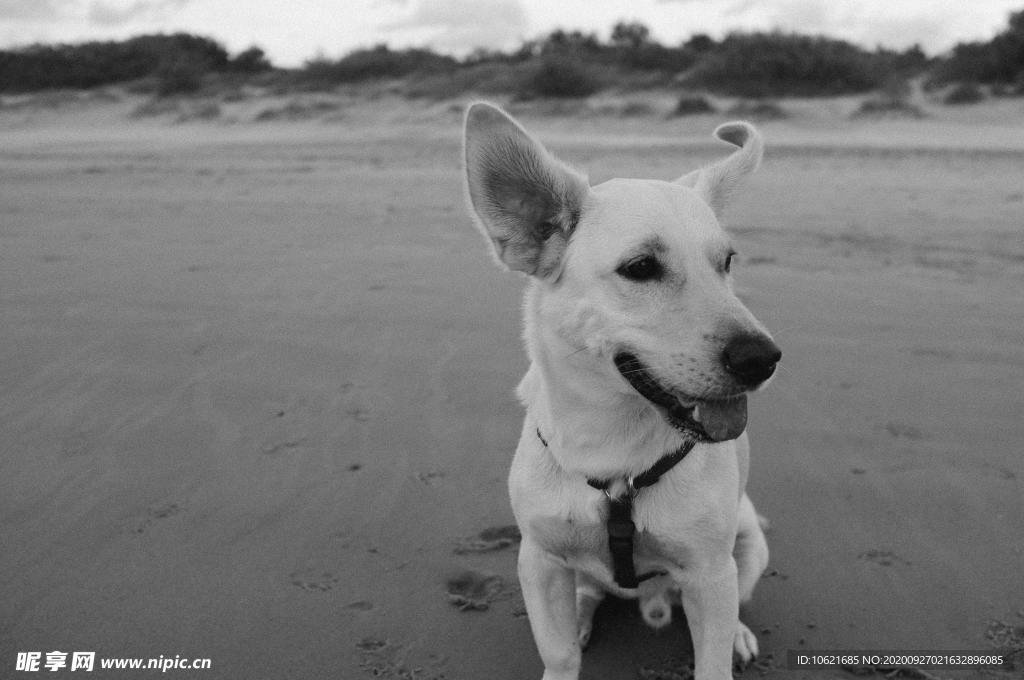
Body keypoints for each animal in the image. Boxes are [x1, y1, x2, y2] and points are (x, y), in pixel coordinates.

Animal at [460, 102, 778, 680]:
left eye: (727, 262)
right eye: (641, 268)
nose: (762, 359)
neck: (613, 449)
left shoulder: (709, 573)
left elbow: (712, 660)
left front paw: (727, 646)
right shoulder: (538, 560)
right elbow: (559, 651)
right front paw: (565, 655)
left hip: (745, 547)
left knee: (736, 602)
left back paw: (741, 633)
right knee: (587, 594)